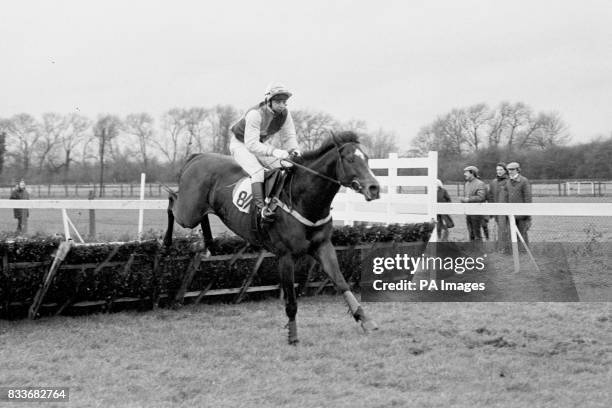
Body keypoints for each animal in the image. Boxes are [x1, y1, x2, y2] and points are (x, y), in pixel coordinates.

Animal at [165, 131, 380, 344]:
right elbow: (291, 299)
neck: (303, 200)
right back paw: (167, 242)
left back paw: (209, 243)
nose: (374, 188)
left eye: (367, 158)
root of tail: (197, 157)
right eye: (350, 159)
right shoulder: (285, 255)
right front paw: (293, 336)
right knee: (171, 201)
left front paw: (365, 320)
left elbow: (341, 283)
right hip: (188, 213)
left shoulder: (323, 246)